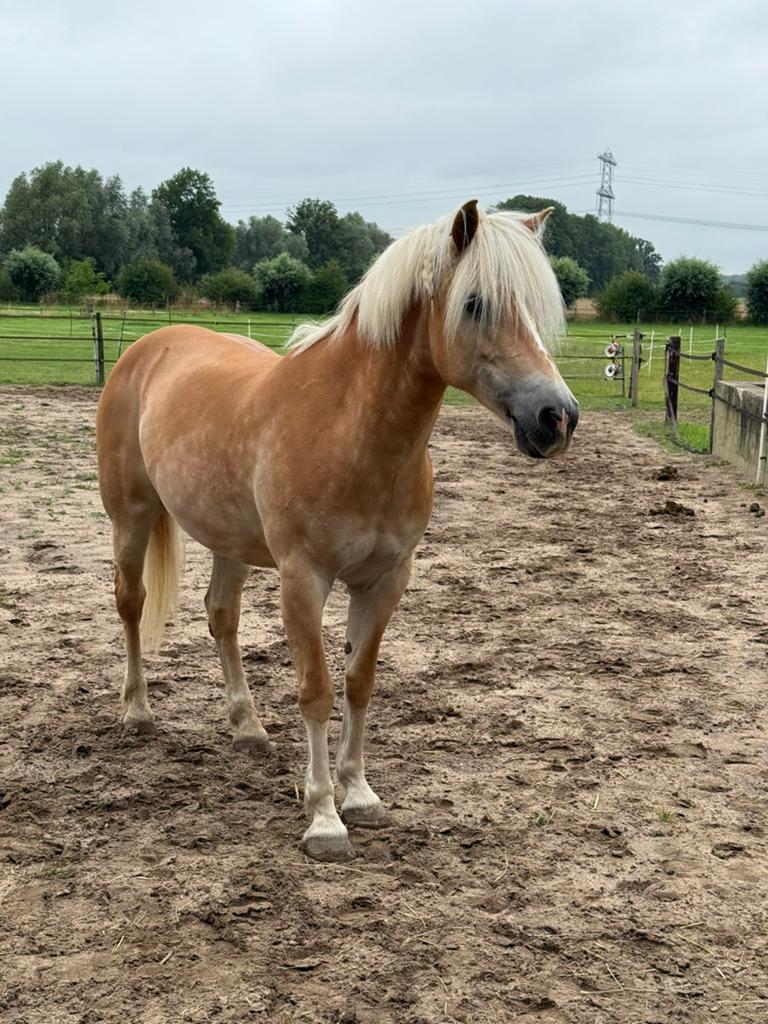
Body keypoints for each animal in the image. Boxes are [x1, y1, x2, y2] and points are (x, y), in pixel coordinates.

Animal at [96, 199, 578, 862]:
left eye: (537, 305)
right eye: (475, 303)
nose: (557, 418)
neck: (350, 431)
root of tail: (146, 347)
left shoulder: (383, 581)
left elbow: (359, 683)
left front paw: (361, 795)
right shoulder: (304, 580)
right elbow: (316, 690)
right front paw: (324, 817)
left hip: (229, 541)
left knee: (221, 616)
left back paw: (247, 728)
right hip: (132, 517)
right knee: (132, 603)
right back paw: (137, 713)